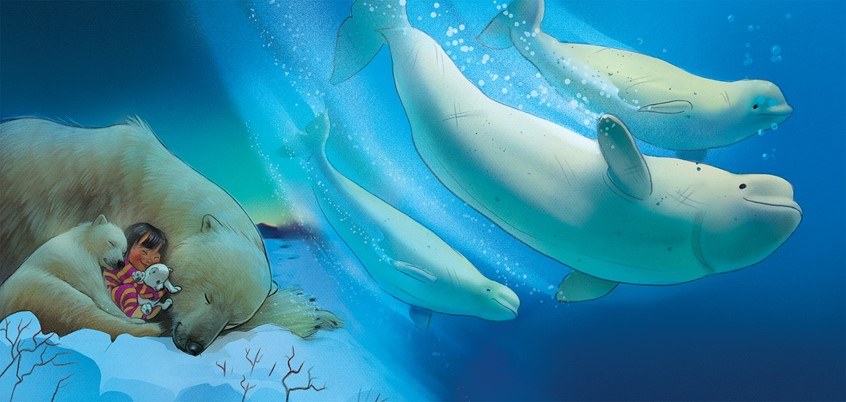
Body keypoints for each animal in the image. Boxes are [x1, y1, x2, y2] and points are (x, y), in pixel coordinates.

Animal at [0, 215, 164, 336]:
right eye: (111, 242)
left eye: (124, 251)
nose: (120, 263)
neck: (82, 241)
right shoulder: (79, 259)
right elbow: (98, 292)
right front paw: (133, 318)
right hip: (44, 290)